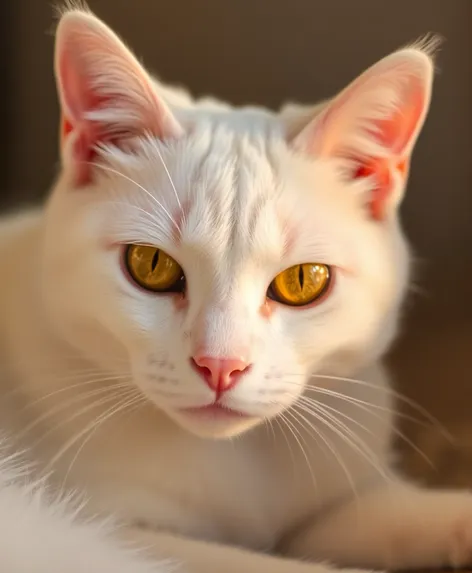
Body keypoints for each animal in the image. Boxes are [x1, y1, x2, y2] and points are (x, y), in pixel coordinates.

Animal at [0, 5, 472, 572]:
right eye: (150, 265)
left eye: (302, 281)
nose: (220, 365)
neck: (241, 462)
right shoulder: (123, 534)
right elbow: (263, 563)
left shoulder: (333, 509)